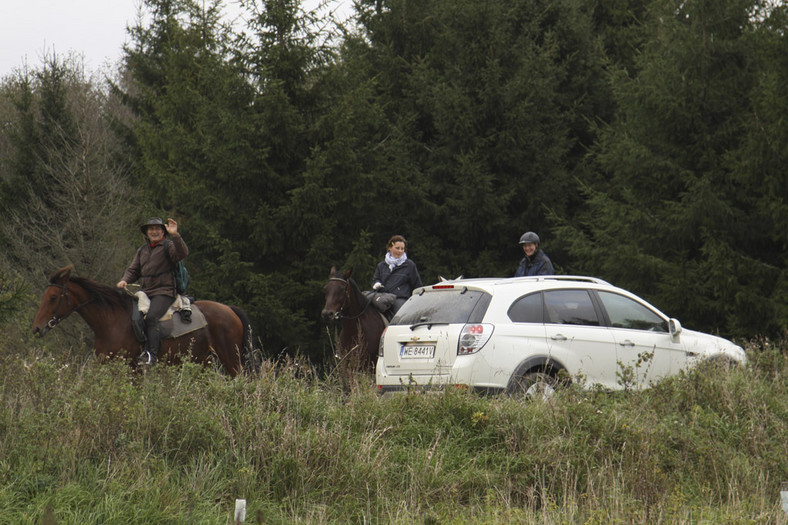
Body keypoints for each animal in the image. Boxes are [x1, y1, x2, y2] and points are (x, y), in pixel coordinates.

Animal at [32, 266, 258, 376]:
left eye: (53, 297)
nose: (36, 328)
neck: (111, 321)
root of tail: (230, 309)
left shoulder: (133, 368)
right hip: (203, 361)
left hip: (232, 361)